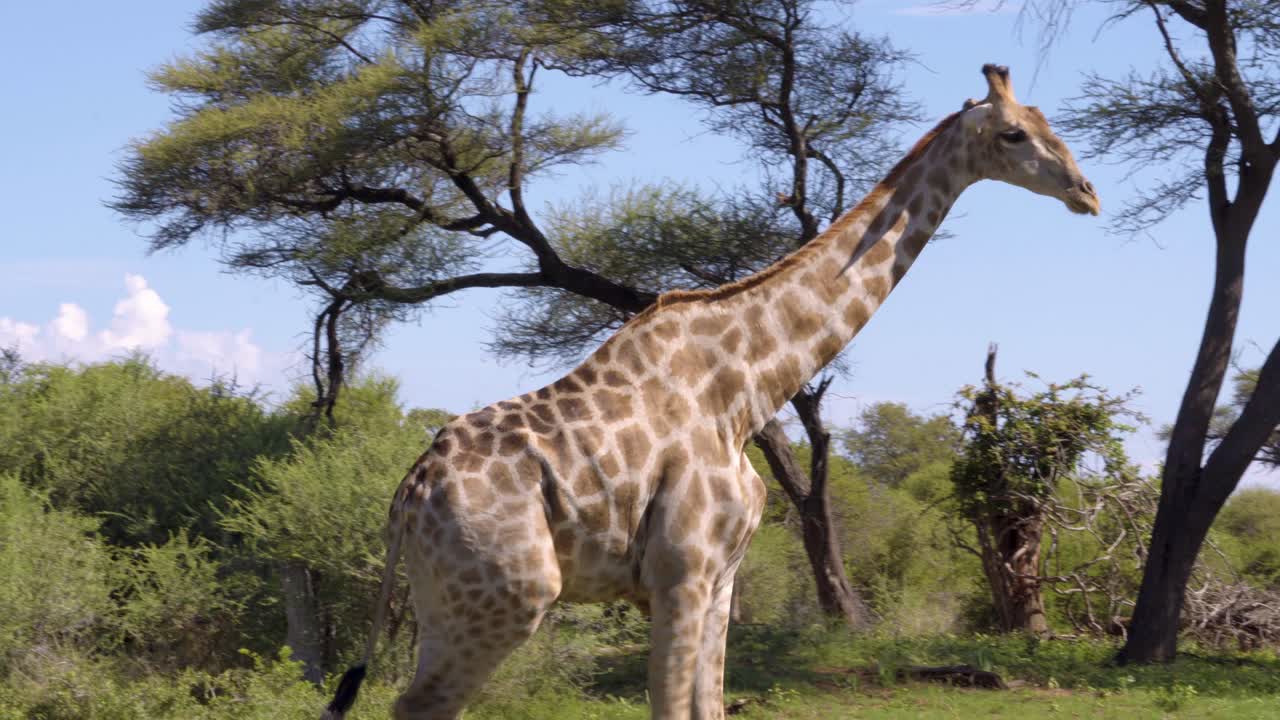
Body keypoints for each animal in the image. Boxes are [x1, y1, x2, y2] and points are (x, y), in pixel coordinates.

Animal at [323, 64, 1099, 720]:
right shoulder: (681, 571)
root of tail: (408, 495)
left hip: (445, 605)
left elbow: (710, 706)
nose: (1086, 192)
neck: (746, 390)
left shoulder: (723, 576)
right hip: (506, 598)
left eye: (1047, 120)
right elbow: (672, 708)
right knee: (419, 707)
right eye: (1014, 133)